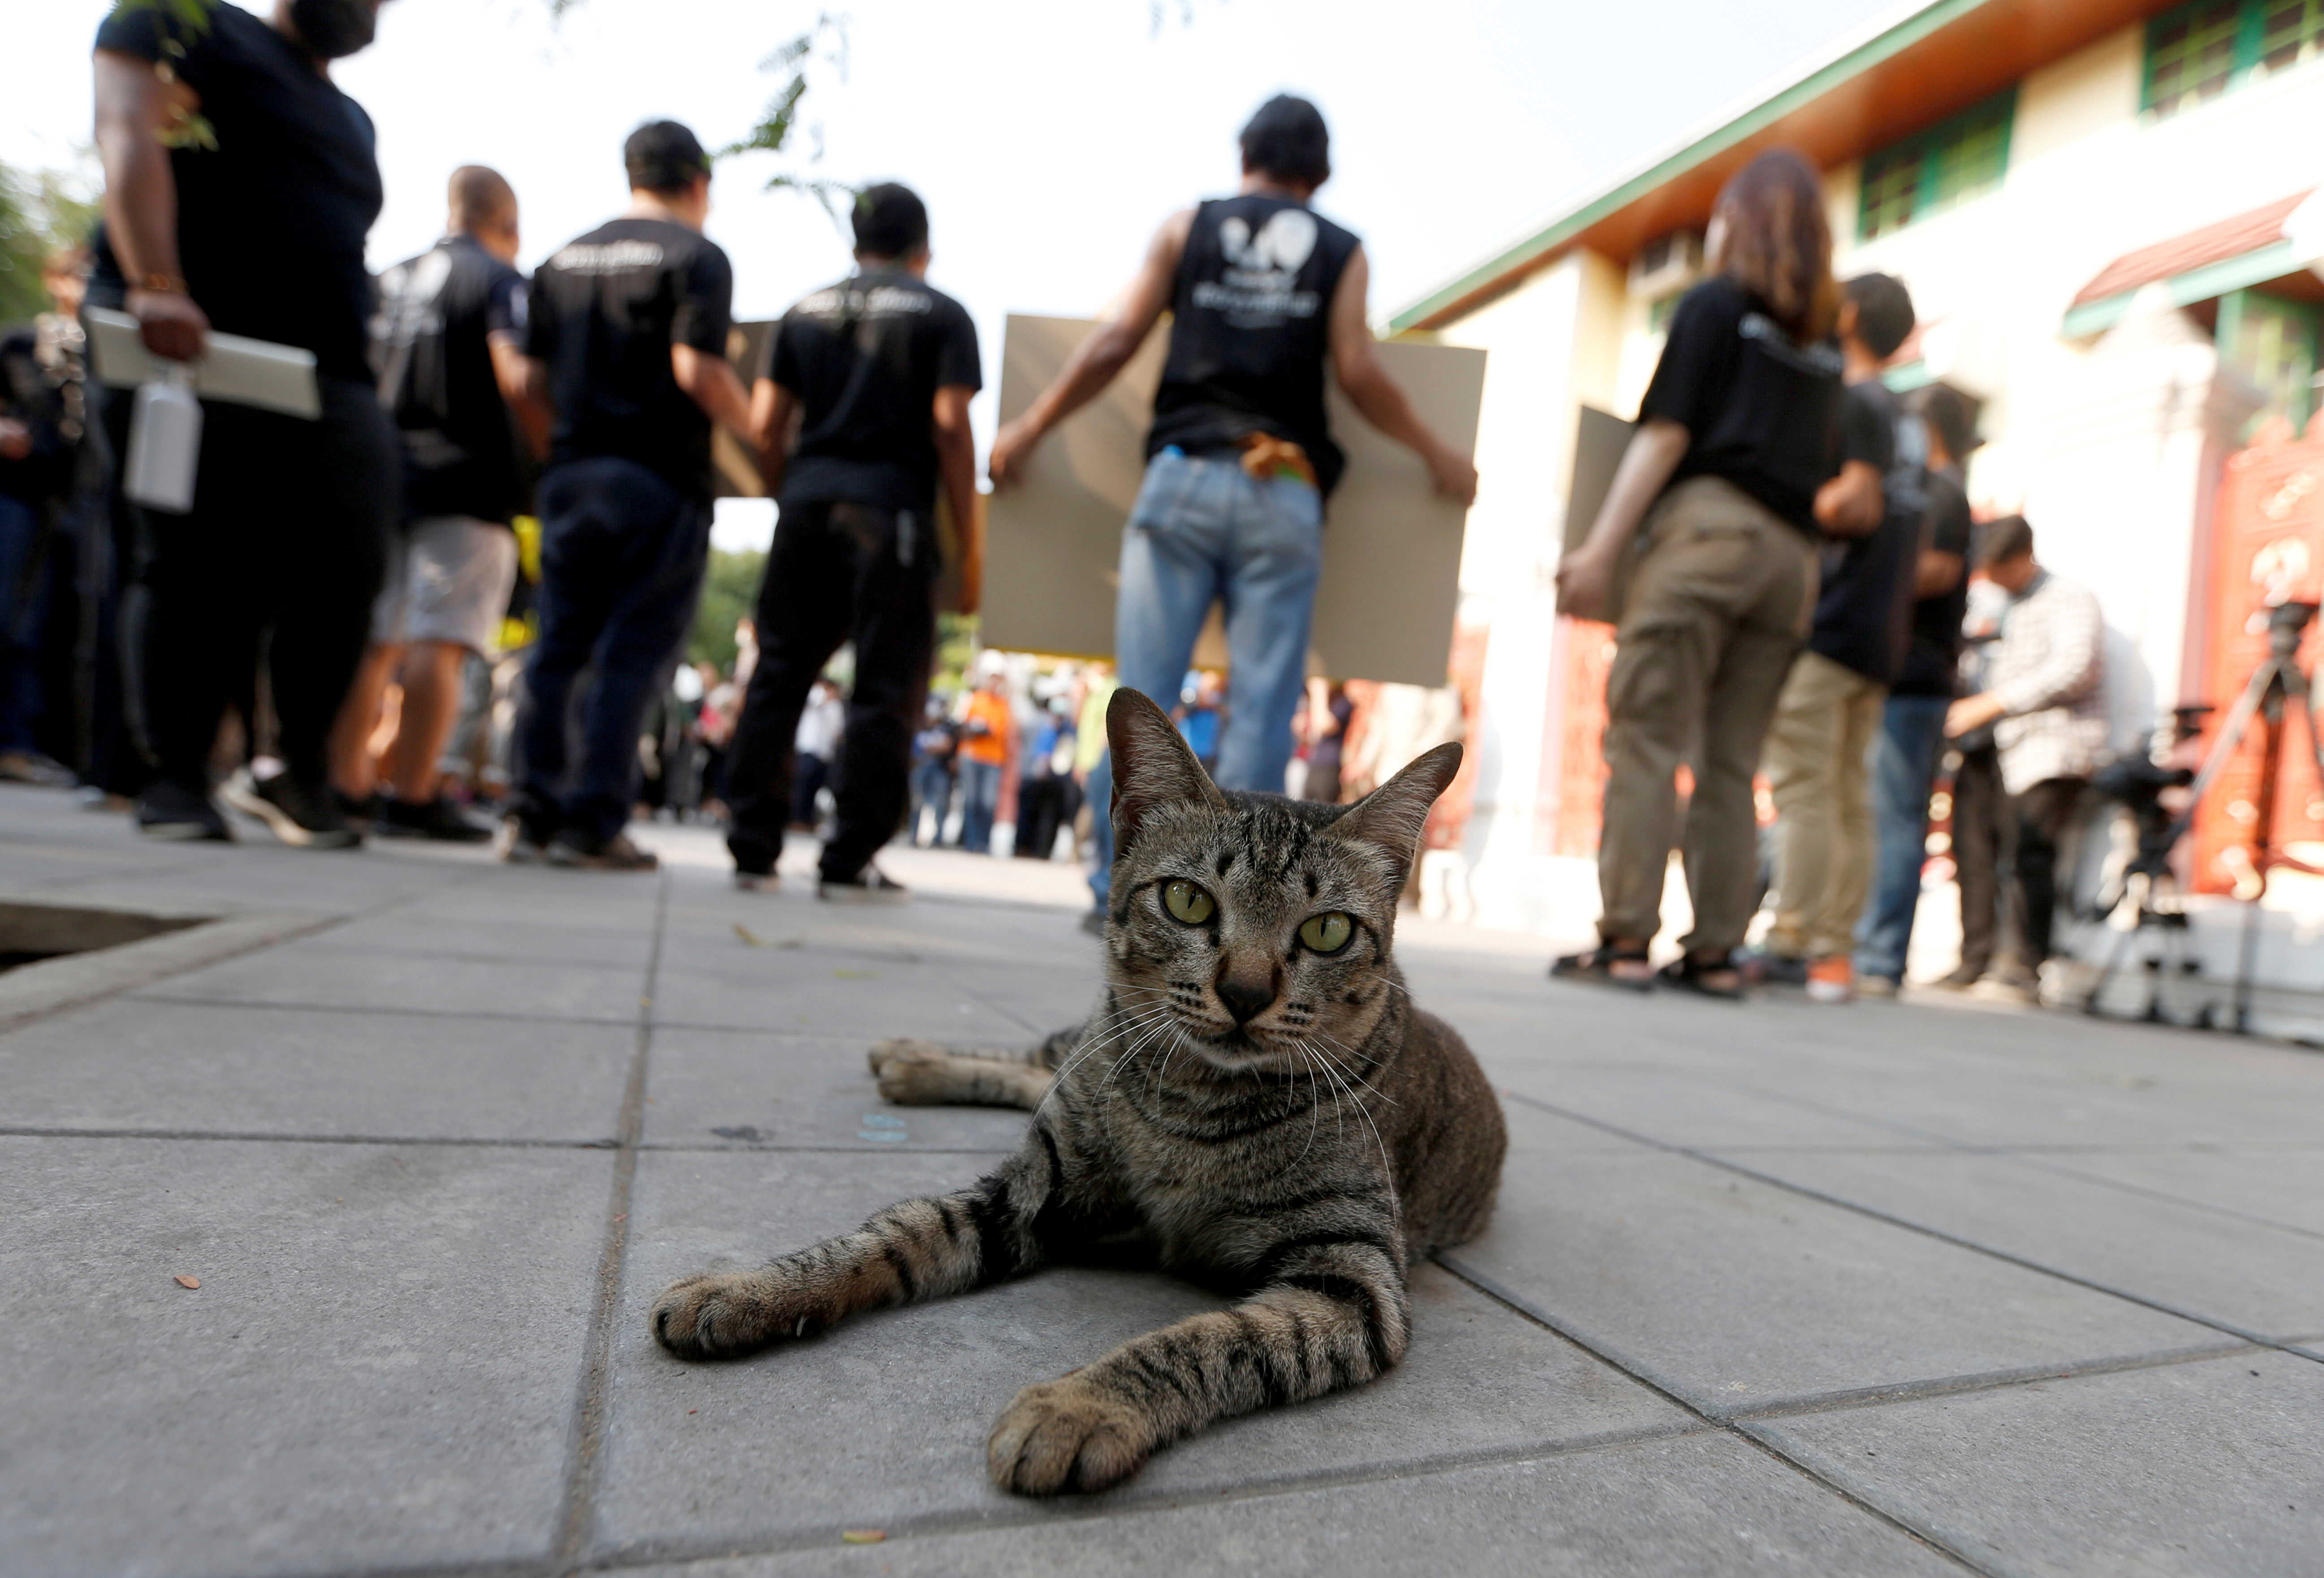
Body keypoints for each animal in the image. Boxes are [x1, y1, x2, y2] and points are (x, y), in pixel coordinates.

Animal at [655, 688, 1515, 1496]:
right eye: (1189, 901)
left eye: (1327, 932)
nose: (1243, 994)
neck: (1189, 1108)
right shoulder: (1036, 1188)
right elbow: (894, 1232)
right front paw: (751, 1287)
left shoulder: (1352, 1277)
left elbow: (1209, 1342)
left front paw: (1080, 1405)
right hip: (1090, 1045)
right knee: (1044, 1058)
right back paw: (912, 1058)